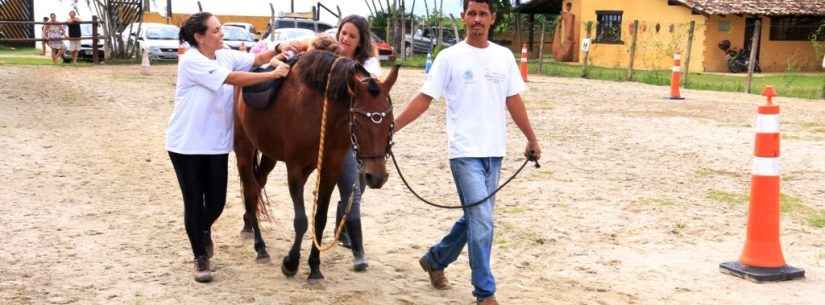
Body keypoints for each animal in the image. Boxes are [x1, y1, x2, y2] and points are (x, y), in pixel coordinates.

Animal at [232, 49, 400, 280]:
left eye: (390, 122)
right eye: (357, 122)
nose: (376, 176)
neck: (320, 111)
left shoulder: (330, 168)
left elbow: (319, 219)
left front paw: (314, 266)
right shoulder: (295, 169)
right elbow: (302, 220)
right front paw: (291, 263)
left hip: (269, 155)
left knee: (258, 185)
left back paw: (249, 224)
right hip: (244, 149)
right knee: (249, 189)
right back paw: (260, 247)